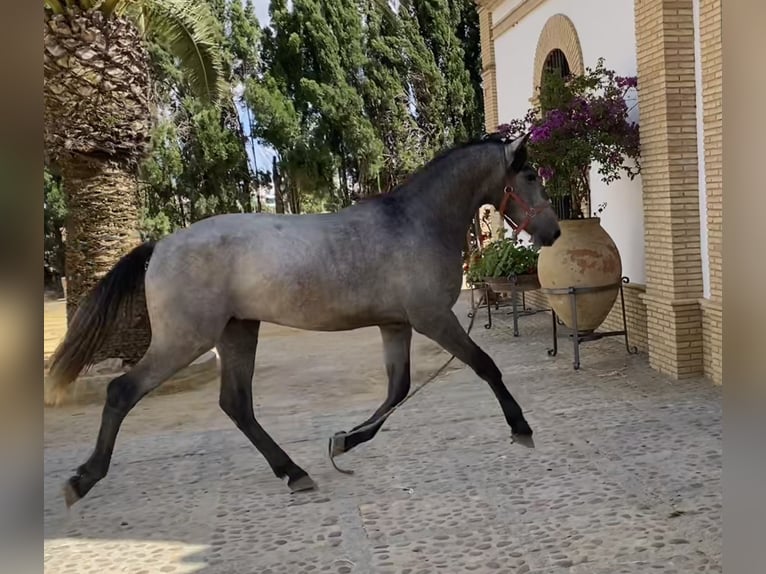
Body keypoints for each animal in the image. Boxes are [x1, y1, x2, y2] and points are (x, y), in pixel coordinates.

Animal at [49, 132, 564, 508]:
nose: (554, 231)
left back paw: (294, 472)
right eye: (530, 174)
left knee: (236, 404)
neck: (416, 223)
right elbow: (485, 367)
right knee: (123, 392)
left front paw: (343, 442)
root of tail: (159, 246)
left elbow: (397, 390)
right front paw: (522, 429)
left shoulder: (395, 325)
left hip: (237, 331)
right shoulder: (433, 319)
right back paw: (82, 480)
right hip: (184, 340)